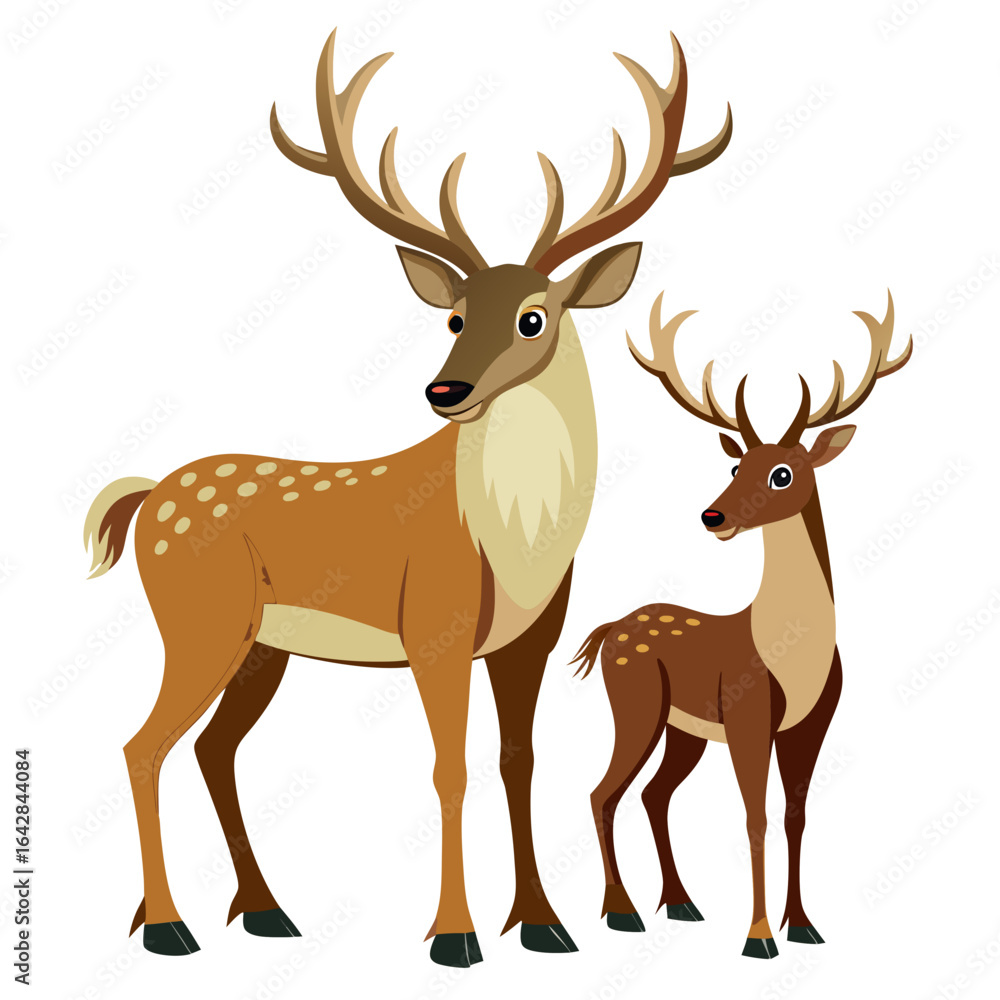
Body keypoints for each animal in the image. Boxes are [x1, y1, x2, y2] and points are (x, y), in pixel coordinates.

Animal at [82, 29, 732, 966]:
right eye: (454, 317)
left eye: (533, 316)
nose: (444, 391)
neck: (514, 541)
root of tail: (146, 499)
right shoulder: (435, 622)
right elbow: (448, 768)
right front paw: (454, 935)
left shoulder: (532, 639)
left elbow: (516, 760)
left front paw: (543, 923)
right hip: (199, 617)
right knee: (143, 745)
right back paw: (168, 927)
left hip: (260, 645)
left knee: (210, 749)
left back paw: (258, 911)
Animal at [571, 291, 910, 959]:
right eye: (735, 469)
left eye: (782, 473)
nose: (713, 515)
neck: (792, 654)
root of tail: (610, 628)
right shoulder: (749, 710)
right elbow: (754, 816)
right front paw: (758, 938)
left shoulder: (813, 722)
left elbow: (794, 816)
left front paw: (803, 925)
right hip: (636, 701)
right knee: (603, 792)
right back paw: (623, 912)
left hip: (684, 729)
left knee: (652, 794)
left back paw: (681, 904)